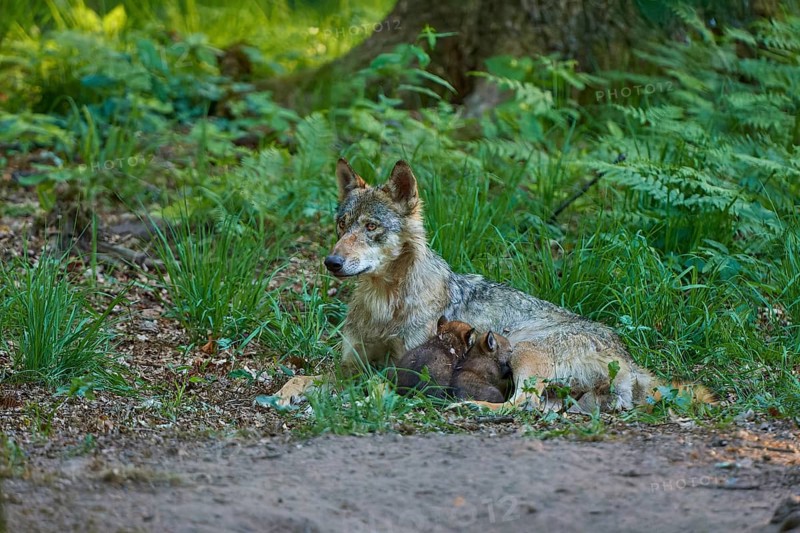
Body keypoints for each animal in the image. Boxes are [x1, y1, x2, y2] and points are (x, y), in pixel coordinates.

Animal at [276, 158, 712, 410]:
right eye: (342, 225)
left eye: (371, 228)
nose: (332, 262)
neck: (385, 303)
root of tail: (628, 356)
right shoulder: (351, 365)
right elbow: (299, 377)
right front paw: (283, 394)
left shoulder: (404, 363)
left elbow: (374, 383)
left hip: (524, 350)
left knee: (522, 405)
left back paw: (470, 407)